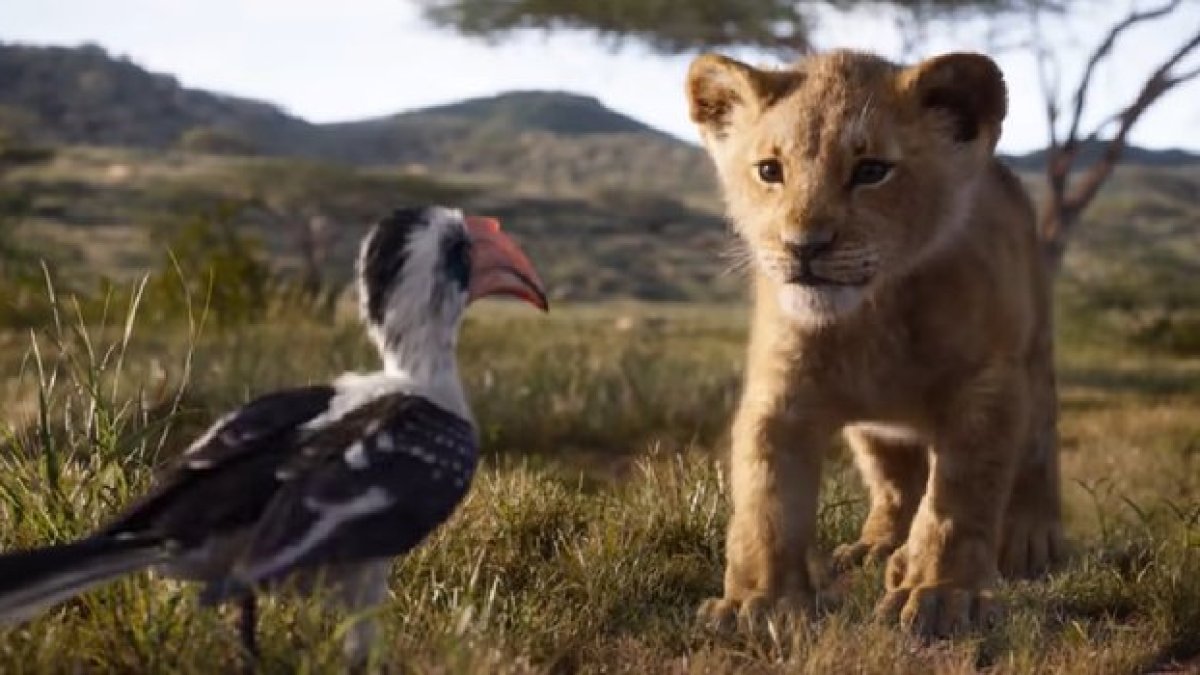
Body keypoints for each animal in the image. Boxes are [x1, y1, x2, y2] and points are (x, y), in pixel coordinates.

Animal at [685, 49, 1064, 636]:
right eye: (770, 170)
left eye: (871, 171)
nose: (803, 247)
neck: (873, 315)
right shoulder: (780, 394)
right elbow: (766, 501)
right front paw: (759, 603)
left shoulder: (987, 385)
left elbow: (959, 500)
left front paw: (942, 594)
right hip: (873, 432)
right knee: (894, 483)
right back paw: (879, 547)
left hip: (1035, 356)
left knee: (1039, 447)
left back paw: (1026, 539)